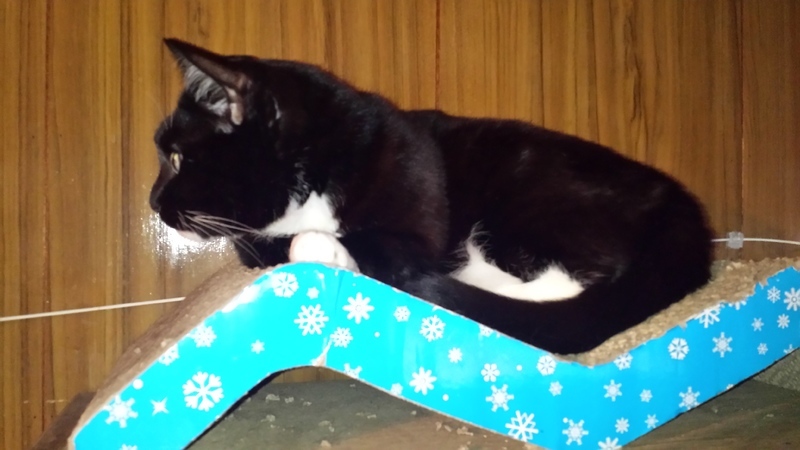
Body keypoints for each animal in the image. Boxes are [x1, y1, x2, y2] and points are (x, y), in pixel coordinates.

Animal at [149, 38, 713, 354]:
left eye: (175, 158)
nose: (153, 203)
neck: (319, 168)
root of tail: (680, 204)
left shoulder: (417, 218)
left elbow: (324, 244)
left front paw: (330, 251)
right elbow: (263, 247)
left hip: (534, 194)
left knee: (571, 284)